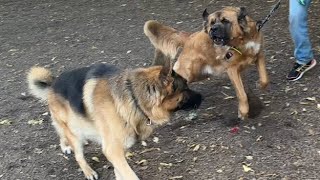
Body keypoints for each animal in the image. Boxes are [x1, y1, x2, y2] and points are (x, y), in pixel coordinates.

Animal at [28, 58, 202, 179]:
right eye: (186, 88)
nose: (203, 97)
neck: (134, 98)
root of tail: (53, 84)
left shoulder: (119, 150)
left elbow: (120, 173)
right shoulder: (113, 150)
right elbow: (130, 175)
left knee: (61, 132)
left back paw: (66, 145)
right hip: (73, 131)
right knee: (77, 153)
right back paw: (87, 170)